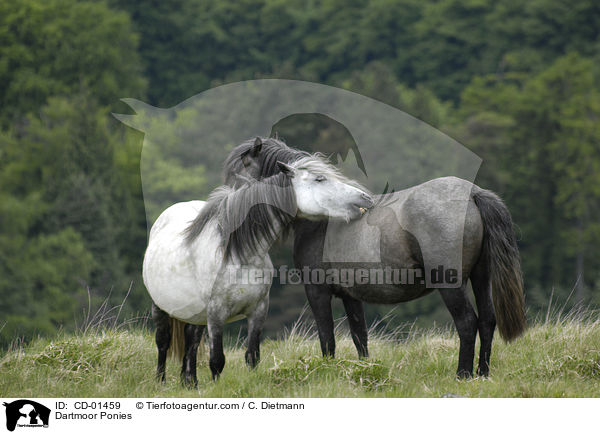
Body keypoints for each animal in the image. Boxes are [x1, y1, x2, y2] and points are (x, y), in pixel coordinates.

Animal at [224, 137, 524, 378]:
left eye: (239, 171)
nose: (228, 210)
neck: (320, 221)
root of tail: (473, 193)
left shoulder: (317, 291)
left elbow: (327, 338)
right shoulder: (351, 295)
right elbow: (360, 336)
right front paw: (364, 371)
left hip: (451, 285)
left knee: (467, 323)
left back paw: (463, 374)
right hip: (481, 277)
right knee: (487, 320)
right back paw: (482, 373)